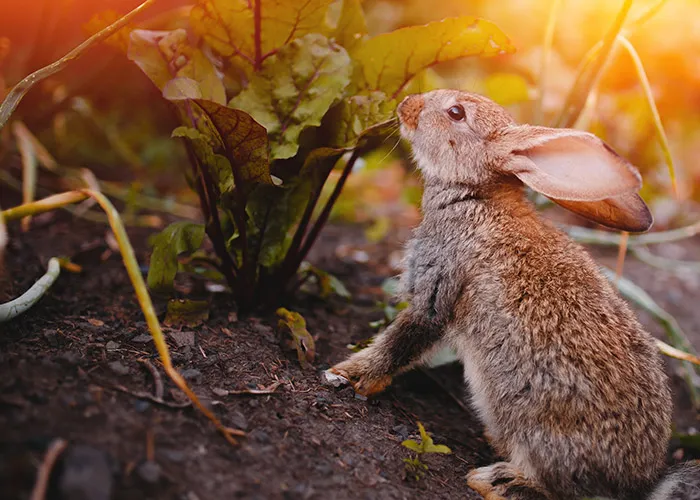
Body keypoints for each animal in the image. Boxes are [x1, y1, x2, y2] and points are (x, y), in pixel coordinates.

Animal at [326, 90, 700, 500]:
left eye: (456, 112)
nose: (408, 104)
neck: (475, 195)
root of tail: (640, 485)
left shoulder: (436, 287)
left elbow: (401, 341)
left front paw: (345, 374)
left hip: (536, 429)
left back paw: (500, 482)